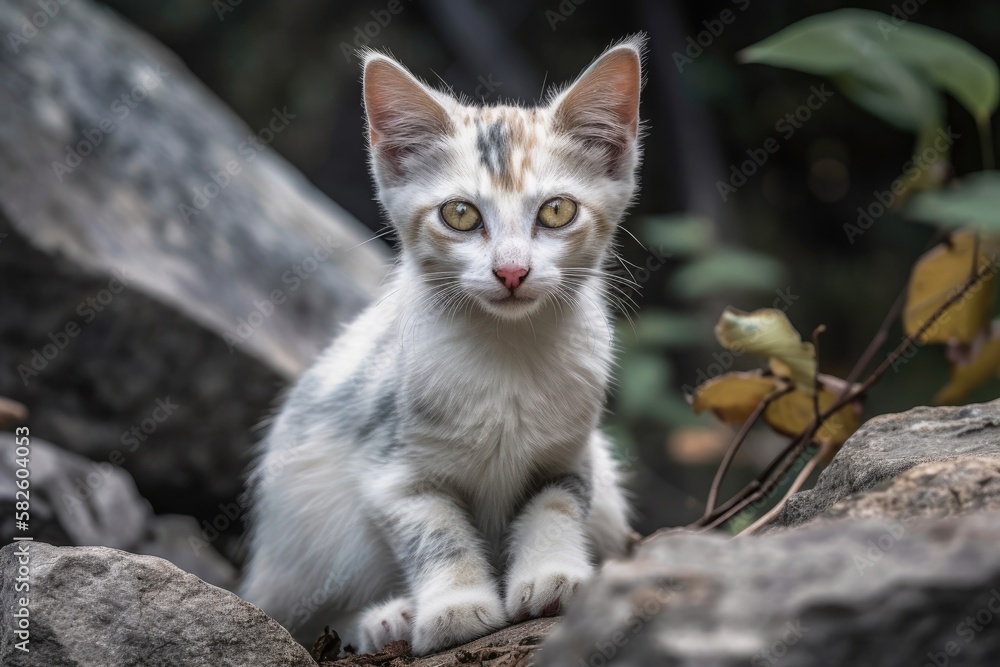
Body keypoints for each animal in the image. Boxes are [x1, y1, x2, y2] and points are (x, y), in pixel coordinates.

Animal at [243, 35, 648, 652]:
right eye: (460, 214)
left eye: (557, 210)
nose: (511, 271)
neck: (508, 353)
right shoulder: (393, 473)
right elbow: (436, 535)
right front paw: (454, 609)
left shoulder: (572, 456)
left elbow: (554, 509)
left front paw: (552, 577)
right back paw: (383, 620)